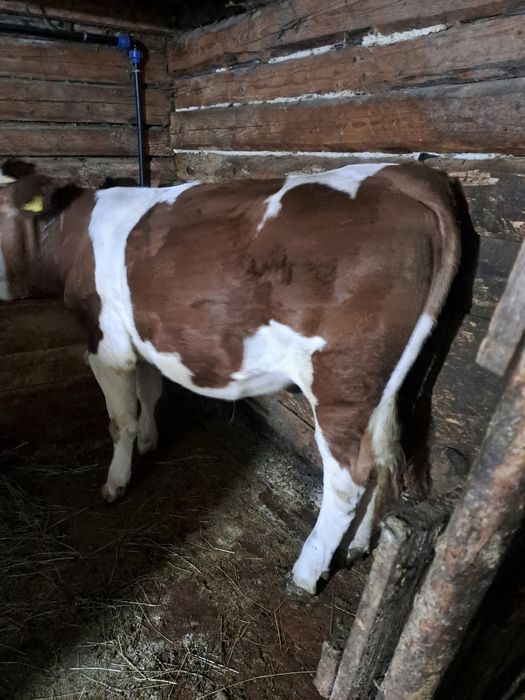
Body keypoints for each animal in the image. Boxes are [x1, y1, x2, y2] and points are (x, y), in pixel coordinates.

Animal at [0, 162, 461, 595]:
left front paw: (116, 483)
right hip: (383, 385)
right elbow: (151, 393)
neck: (75, 235)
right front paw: (150, 441)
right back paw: (356, 547)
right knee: (387, 459)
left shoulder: (106, 342)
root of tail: (397, 174)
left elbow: (120, 420)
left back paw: (306, 573)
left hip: (341, 377)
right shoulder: (144, 338)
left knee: (351, 476)